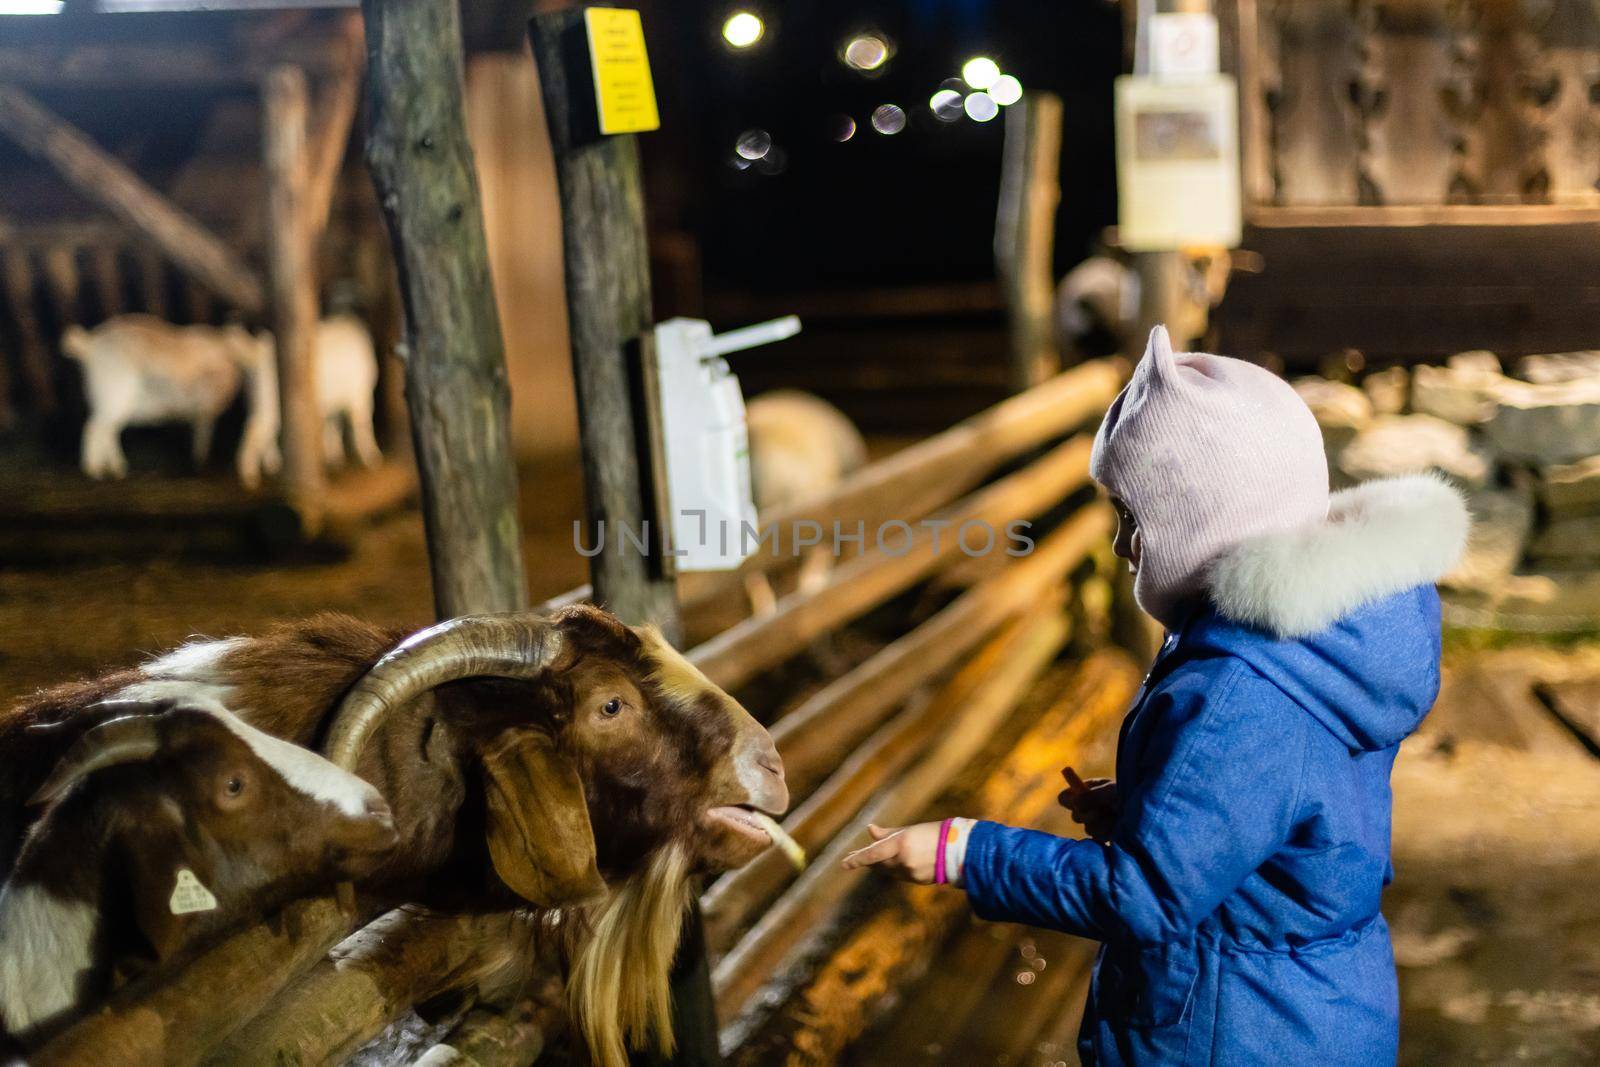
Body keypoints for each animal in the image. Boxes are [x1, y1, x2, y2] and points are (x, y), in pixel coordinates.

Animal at [60, 316, 262, 479]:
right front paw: (200, 464)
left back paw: (117, 469)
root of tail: (89, 345)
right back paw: (94, 471)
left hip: (111, 403)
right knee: (94, 428)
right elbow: (203, 437)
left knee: (108, 431)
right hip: (113, 396)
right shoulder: (205, 410)